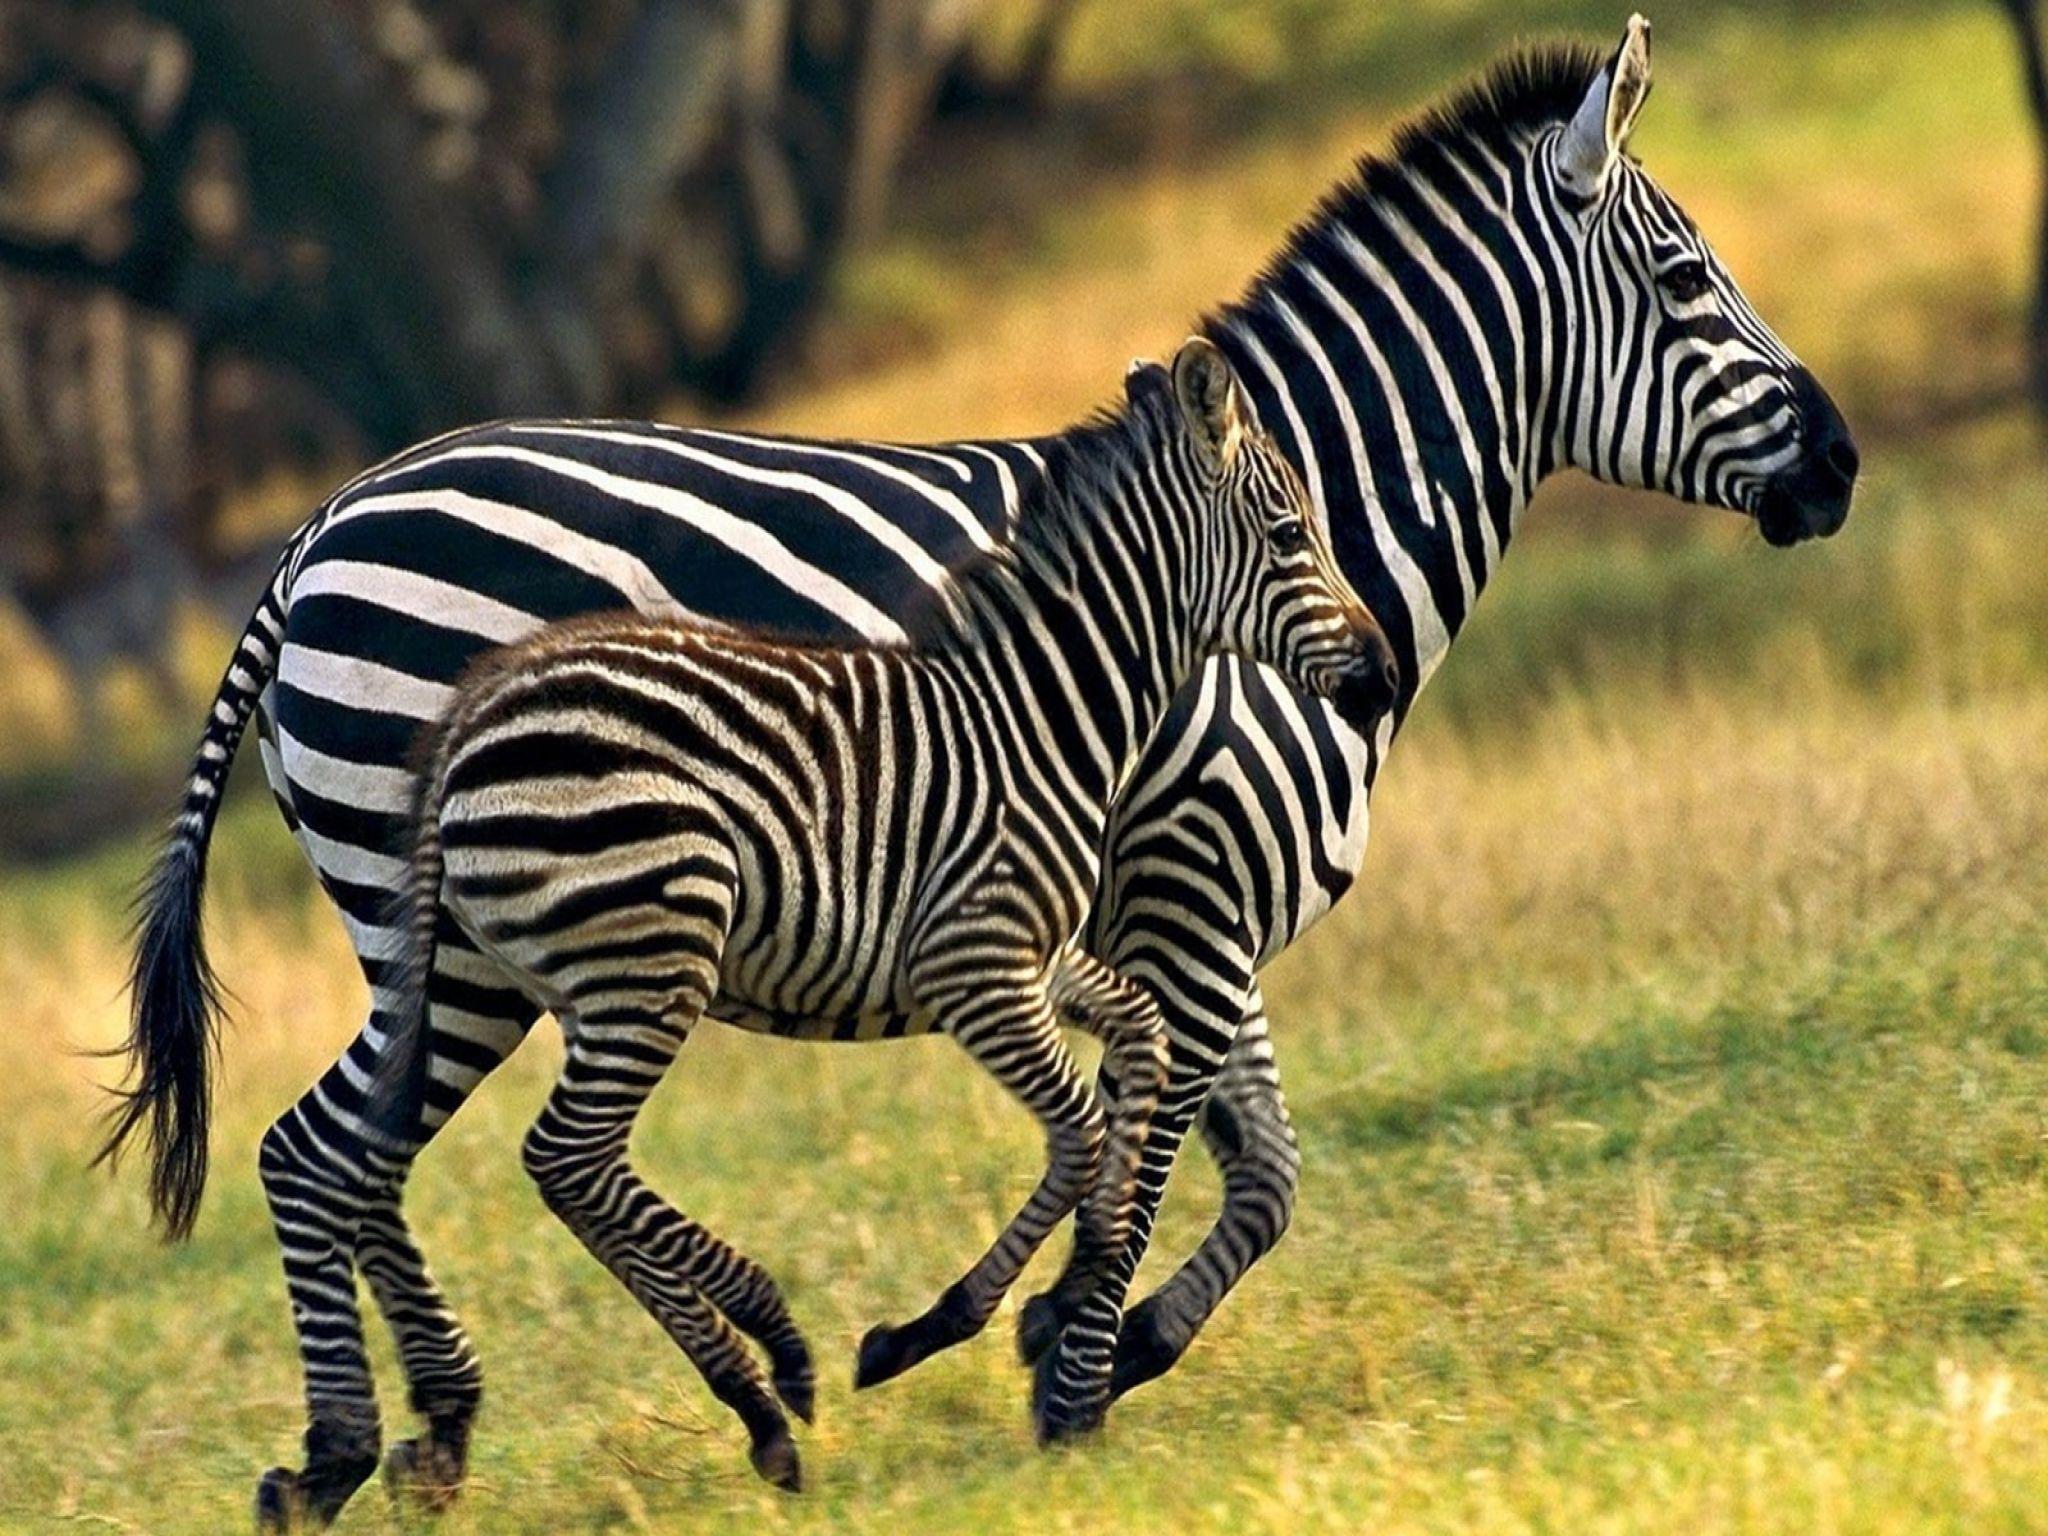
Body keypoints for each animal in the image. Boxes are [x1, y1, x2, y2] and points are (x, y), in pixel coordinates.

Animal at [355, 337, 1395, 1506]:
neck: (1044, 717)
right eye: (1291, 534)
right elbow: (1082, 1129)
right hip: (651, 953)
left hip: (581, 975)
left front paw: (1078, 1283)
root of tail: (467, 719)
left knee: (547, 1168)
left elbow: (1138, 1041)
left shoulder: (1032, 957)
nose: (1379, 674)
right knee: (565, 1158)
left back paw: (753, 1393)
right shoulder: (970, 966)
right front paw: (971, 1323)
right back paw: (769, 1364)